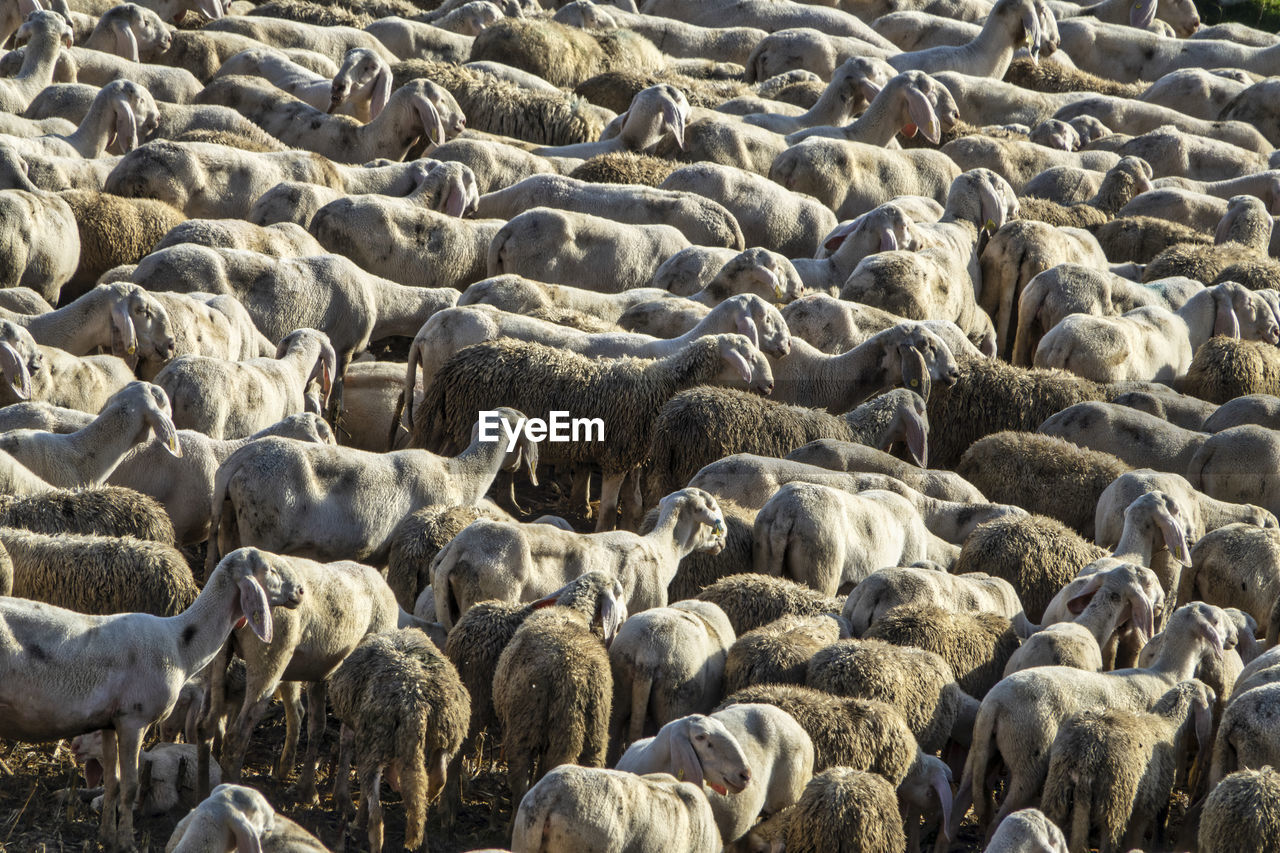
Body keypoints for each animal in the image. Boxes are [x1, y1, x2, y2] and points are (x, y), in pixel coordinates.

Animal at [0, 547, 300, 850]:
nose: (299, 591)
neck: (181, 644)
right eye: (270, 570)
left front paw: (106, 836)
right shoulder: (134, 718)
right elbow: (130, 787)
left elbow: (112, 782)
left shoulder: (110, 722)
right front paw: (126, 842)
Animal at [327, 627, 468, 853]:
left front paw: (355, 819)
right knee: (438, 777)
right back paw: (425, 811)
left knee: (376, 819)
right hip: (447, 731)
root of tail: (414, 700)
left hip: (374, 740)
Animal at [411, 335, 772, 529]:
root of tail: (455, 364)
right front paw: (604, 531)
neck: (655, 389)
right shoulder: (615, 455)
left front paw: (630, 527)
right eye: (747, 357)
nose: (769, 386)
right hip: (464, 424)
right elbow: (611, 507)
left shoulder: (633, 457)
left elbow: (634, 502)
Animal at [432, 487, 726, 627]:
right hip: (493, 591)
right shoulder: (643, 605)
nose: (722, 541)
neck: (663, 552)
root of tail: (460, 545)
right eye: (711, 511)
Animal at [1040, 679, 1214, 853]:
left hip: (1057, 791)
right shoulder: (1149, 802)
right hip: (1116, 800)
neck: (1169, 725)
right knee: (1109, 841)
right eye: (1213, 700)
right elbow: (1139, 835)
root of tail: (1087, 753)